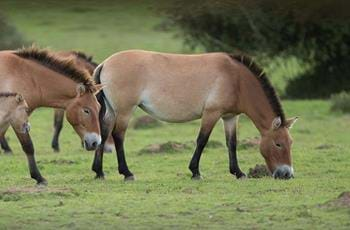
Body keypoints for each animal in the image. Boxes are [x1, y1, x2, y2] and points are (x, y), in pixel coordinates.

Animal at [0, 47, 103, 185]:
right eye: (86, 110)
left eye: (99, 108)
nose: (95, 142)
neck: (24, 76)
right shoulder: (16, 120)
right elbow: (29, 146)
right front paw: (39, 177)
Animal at [91, 49, 296, 181]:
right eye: (278, 144)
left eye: (290, 143)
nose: (287, 174)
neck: (236, 79)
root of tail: (105, 63)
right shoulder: (211, 113)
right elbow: (202, 141)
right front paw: (195, 172)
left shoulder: (230, 117)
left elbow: (232, 143)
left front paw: (238, 172)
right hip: (125, 111)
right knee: (118, 136)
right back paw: (127, 173)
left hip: (112, 111)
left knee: (104, 132)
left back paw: (99, 172)